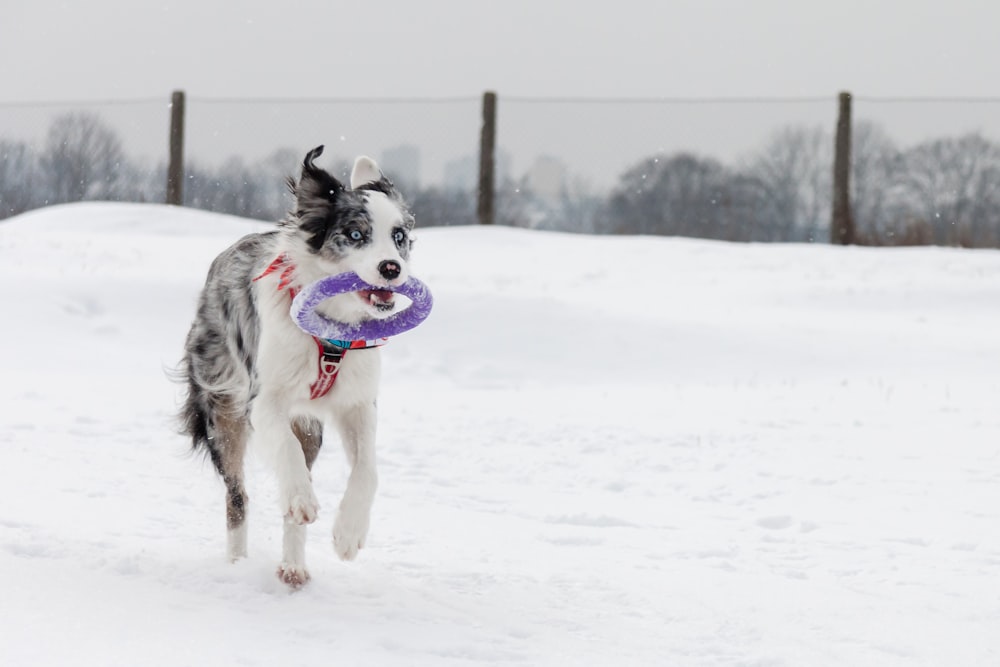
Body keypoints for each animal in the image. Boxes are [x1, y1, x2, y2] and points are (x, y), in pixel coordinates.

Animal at [180, 146, 414, 588]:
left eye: (400, 237)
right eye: (355, 234)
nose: (392, 268)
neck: (331, 330)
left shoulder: (357, 404)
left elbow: (368, 469)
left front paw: (349, 534)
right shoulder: (264, 400)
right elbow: (285, 454)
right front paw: (303, 500)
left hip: (310, 428)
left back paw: (293, 566)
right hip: (223, 411)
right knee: (238, 495)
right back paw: (238, 561)